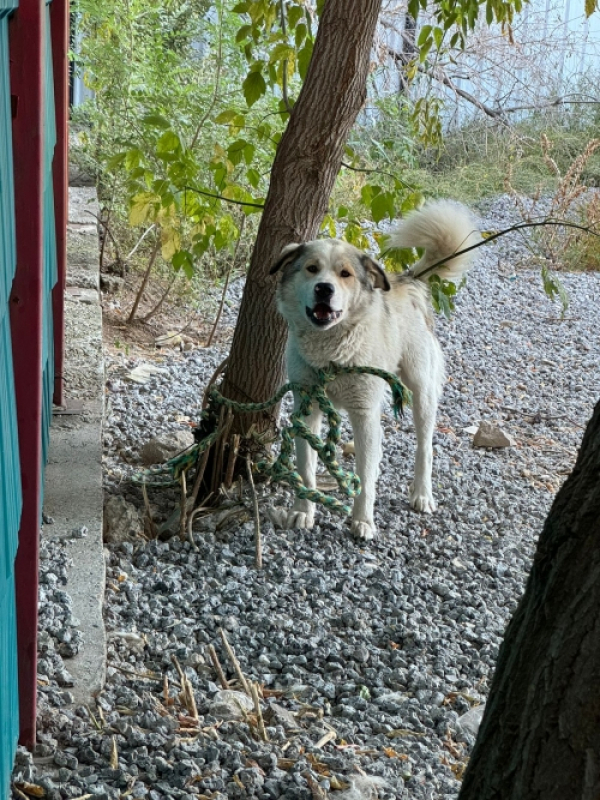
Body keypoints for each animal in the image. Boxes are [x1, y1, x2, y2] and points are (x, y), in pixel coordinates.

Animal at [268, 200, 478, 540]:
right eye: (311, 268)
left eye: (345, 274)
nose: (324, 289)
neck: (331, 357)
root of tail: (408, 280)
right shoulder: (307, 409)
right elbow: (306, 469)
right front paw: (302, 511)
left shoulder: (364, 412)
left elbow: (364, 478)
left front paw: (363, 521)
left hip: (421, 392)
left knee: (424, 448)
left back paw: (422, 494)